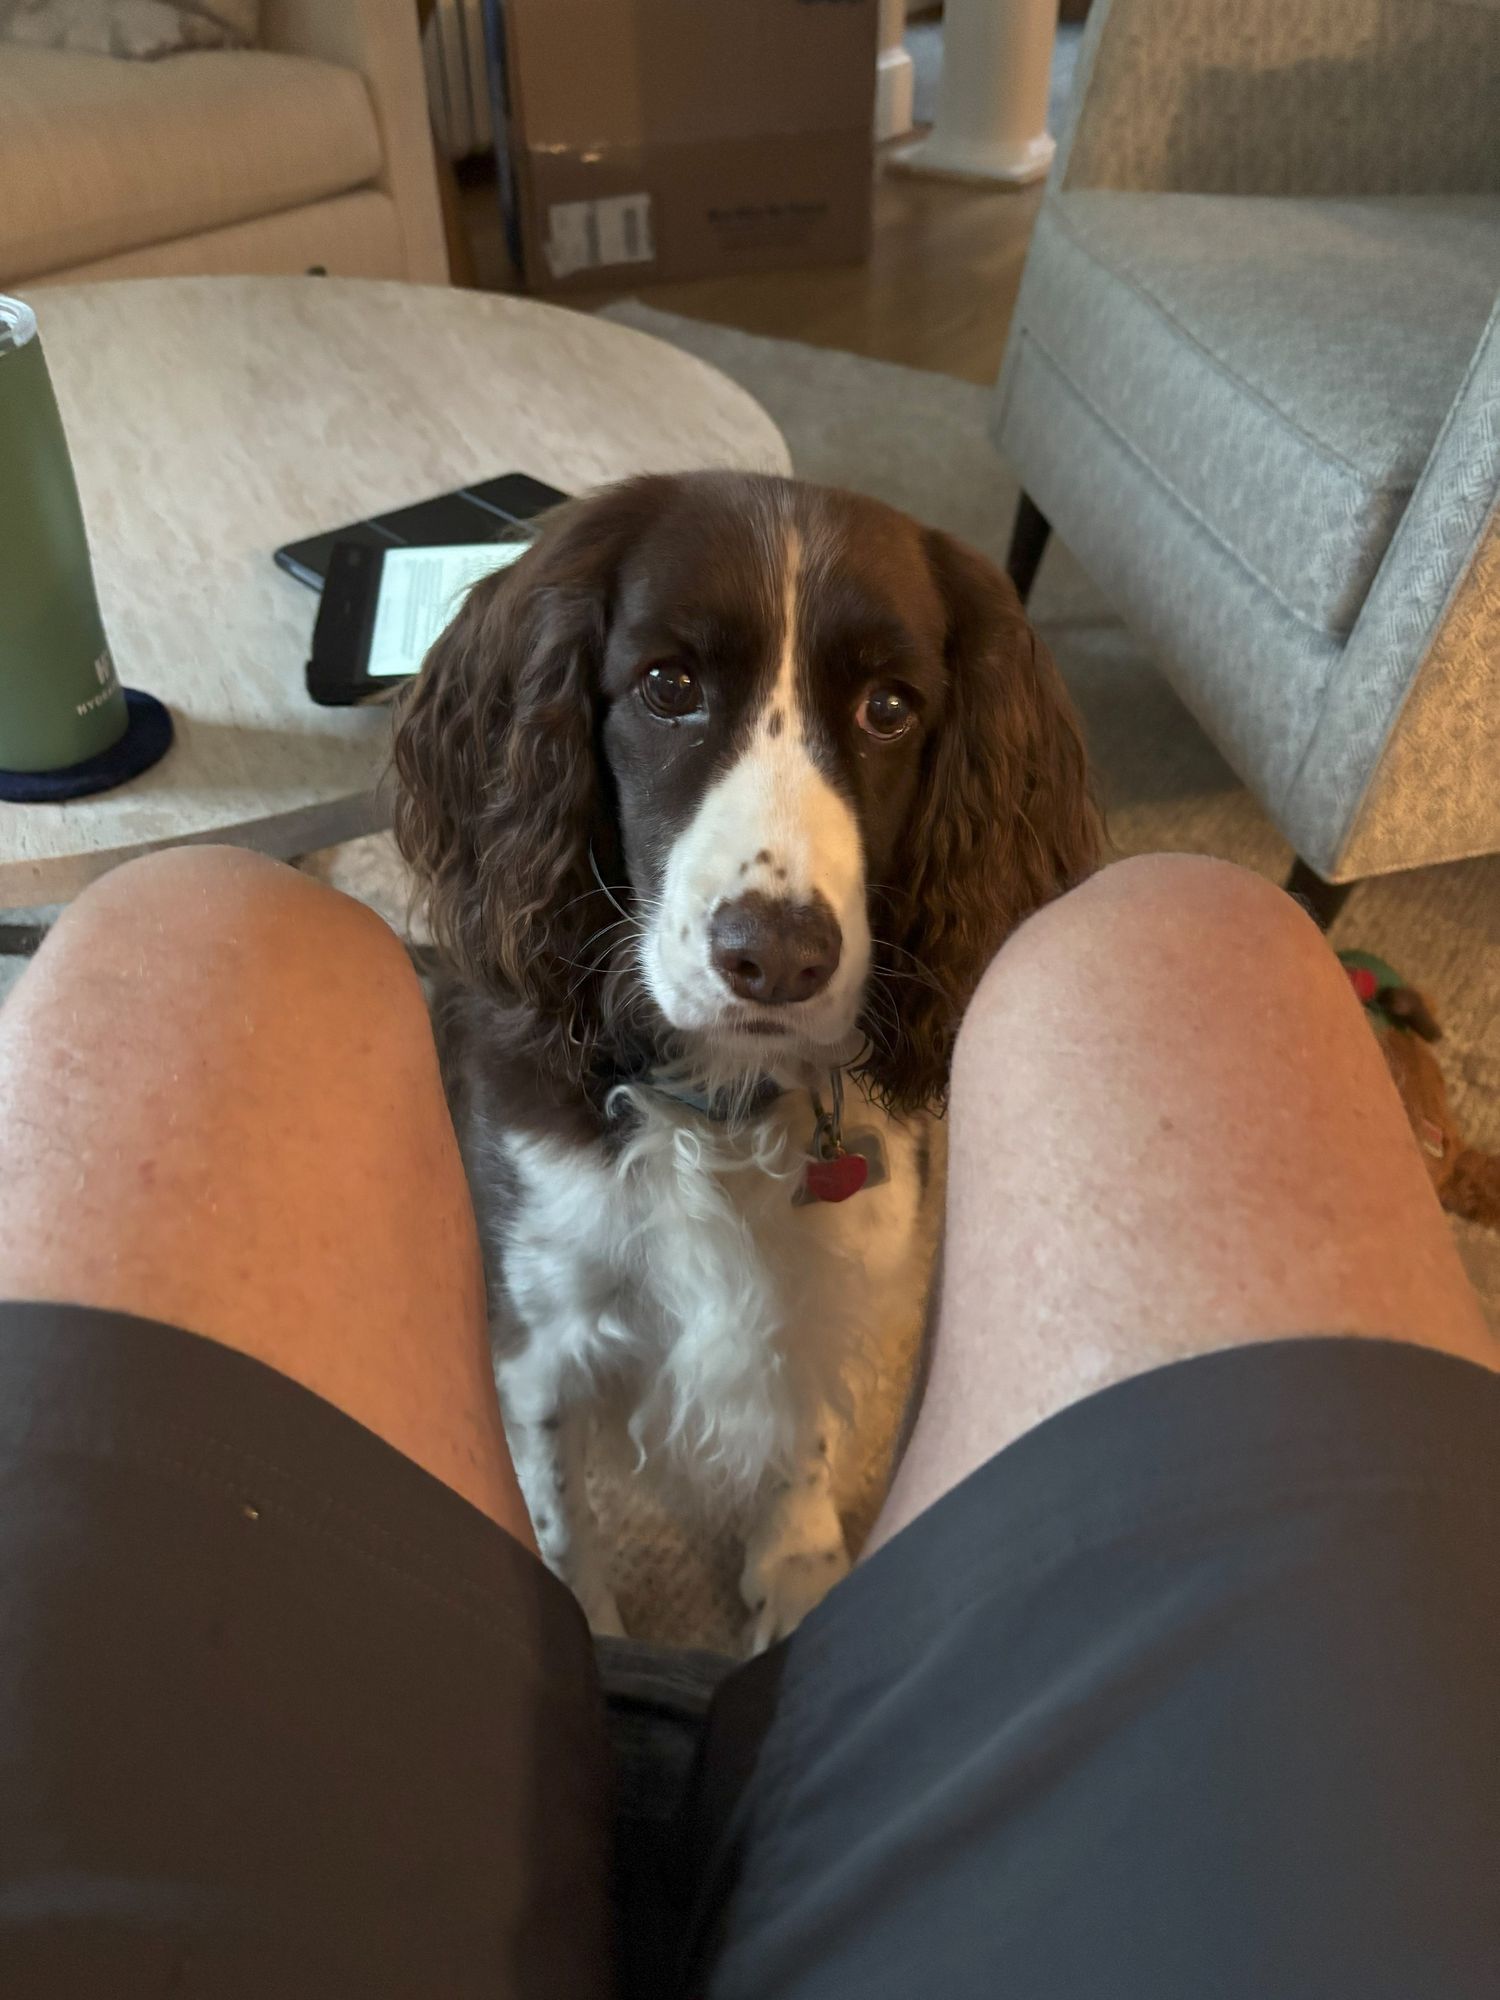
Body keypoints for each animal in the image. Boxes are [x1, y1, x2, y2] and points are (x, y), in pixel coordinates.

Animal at [396, 476, 1104, 1648]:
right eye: (667, 684)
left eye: (891, 707)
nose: (775, 957)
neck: (718, 1105)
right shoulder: (539, 1326)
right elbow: (556, 1504)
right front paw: (590, 1623)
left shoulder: (839, 1269)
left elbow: (801, 1420)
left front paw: (799, 1559)